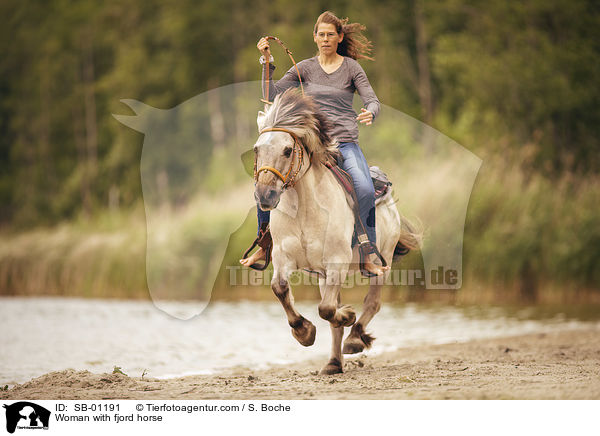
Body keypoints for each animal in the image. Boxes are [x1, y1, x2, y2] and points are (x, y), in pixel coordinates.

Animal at [252, 88, 418, 374]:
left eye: (287, 150)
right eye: (256, 149)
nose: (265, 195)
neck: (305, 209)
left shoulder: (336, 262)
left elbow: (328, 309)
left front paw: (347, 317)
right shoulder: (285, 258)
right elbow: (281, 289)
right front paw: (304, 332)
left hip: (380, 263)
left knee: (372, 302)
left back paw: (355, 338)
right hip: (323, 275)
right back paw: (333, 363)